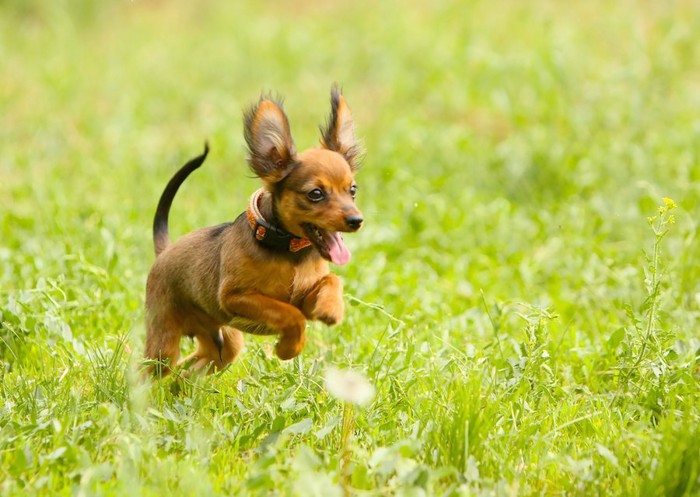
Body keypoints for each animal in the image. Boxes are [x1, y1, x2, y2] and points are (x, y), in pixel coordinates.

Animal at [142, 88, 360, 376]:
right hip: (163, 347)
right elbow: (291, 314)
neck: (288, 251)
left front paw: (331, 307)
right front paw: (288, 348)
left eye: (353, 190)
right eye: (315, 194)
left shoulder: (304, 298)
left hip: (223, 345)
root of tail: (165, 250)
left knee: (190, 369)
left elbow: (332, 280)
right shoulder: (236, 297)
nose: (357, 220)